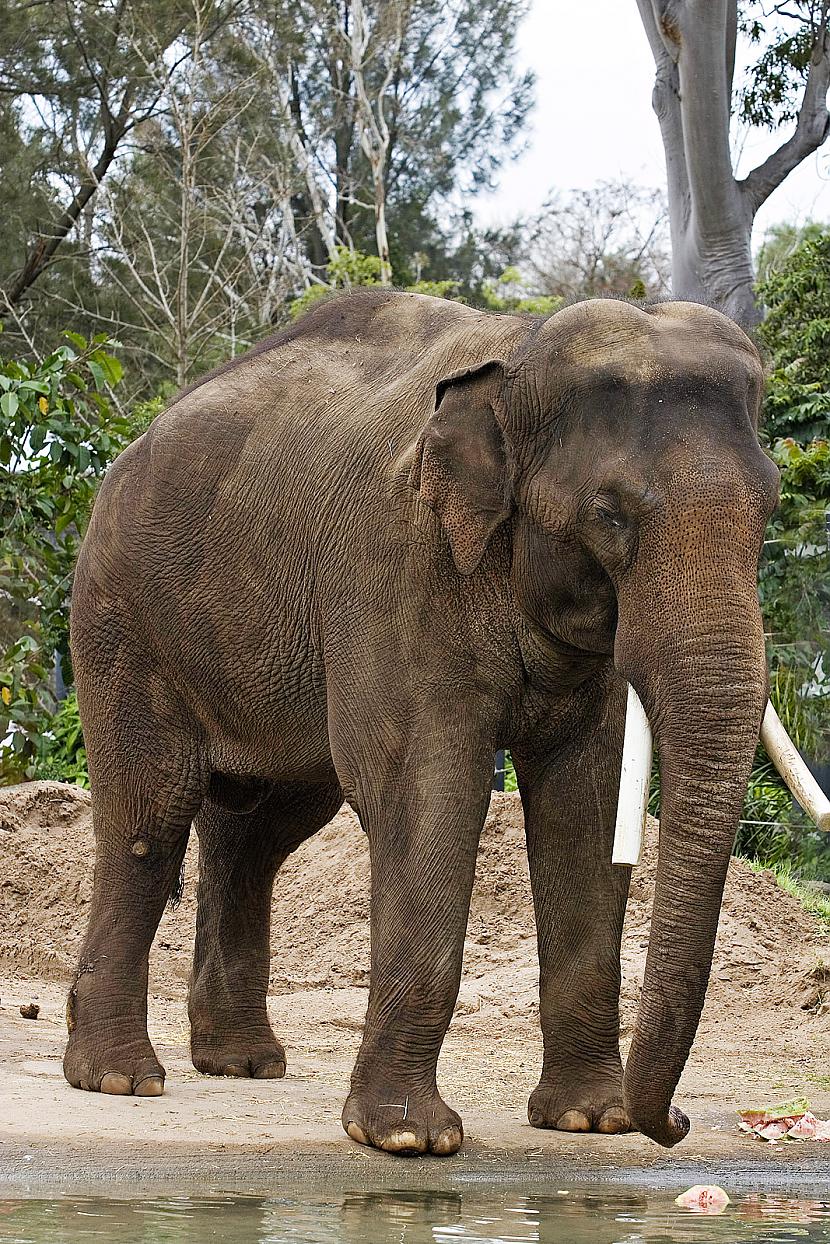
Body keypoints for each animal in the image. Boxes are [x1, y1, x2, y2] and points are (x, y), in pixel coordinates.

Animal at [63, 291, 781, 1154]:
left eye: (772, 509)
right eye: (609, 515)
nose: (676, 1120)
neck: (520, 357)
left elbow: (585, 803)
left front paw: (590, 1120)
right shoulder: (397, 562)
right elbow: (426, 790)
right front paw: (409, 1138)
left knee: (261, 828)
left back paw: (242, 1063)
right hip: (123, 619)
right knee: (152, 812)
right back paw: (119, 1079)